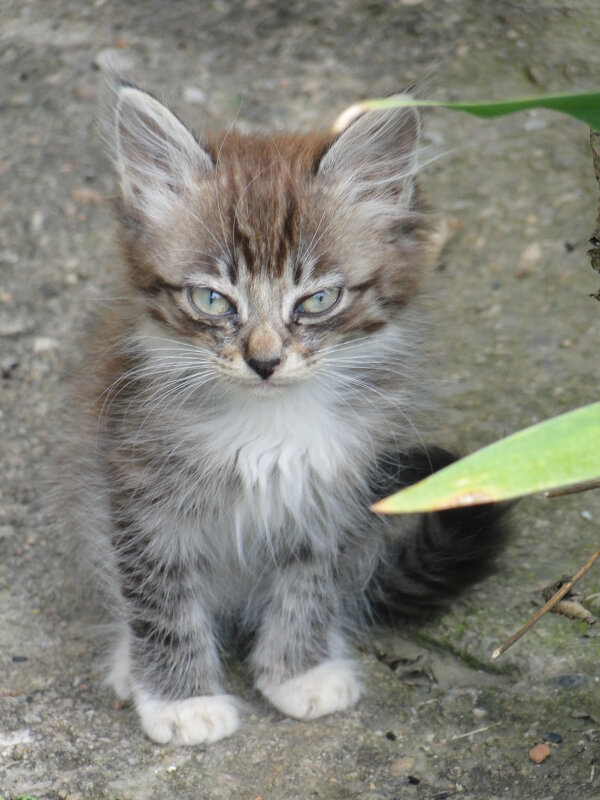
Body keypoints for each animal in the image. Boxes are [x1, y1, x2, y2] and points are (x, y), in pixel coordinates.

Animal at [63, 84, 508, 748]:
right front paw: (181, 701)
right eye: (212, 299)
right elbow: (160, 602)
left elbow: (310, 586)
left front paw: (300, 672)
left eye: (318, 299)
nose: (265, 361)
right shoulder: (141, 497)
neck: (268, 424)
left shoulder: (334, 494)